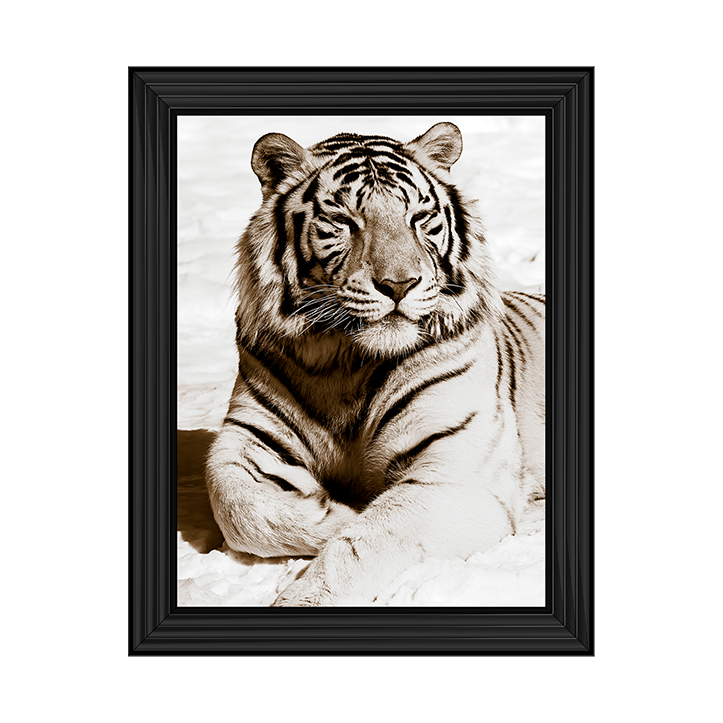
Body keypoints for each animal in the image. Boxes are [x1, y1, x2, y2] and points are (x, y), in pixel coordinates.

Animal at [205, 122, 545, 606]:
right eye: (345, 221)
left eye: (419, 218)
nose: (399, 285)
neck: (346, 361)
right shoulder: (247, 437)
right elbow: (237, 507)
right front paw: (338, 511)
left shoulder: (456, 473)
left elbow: (368, 541)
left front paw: (307, 592)